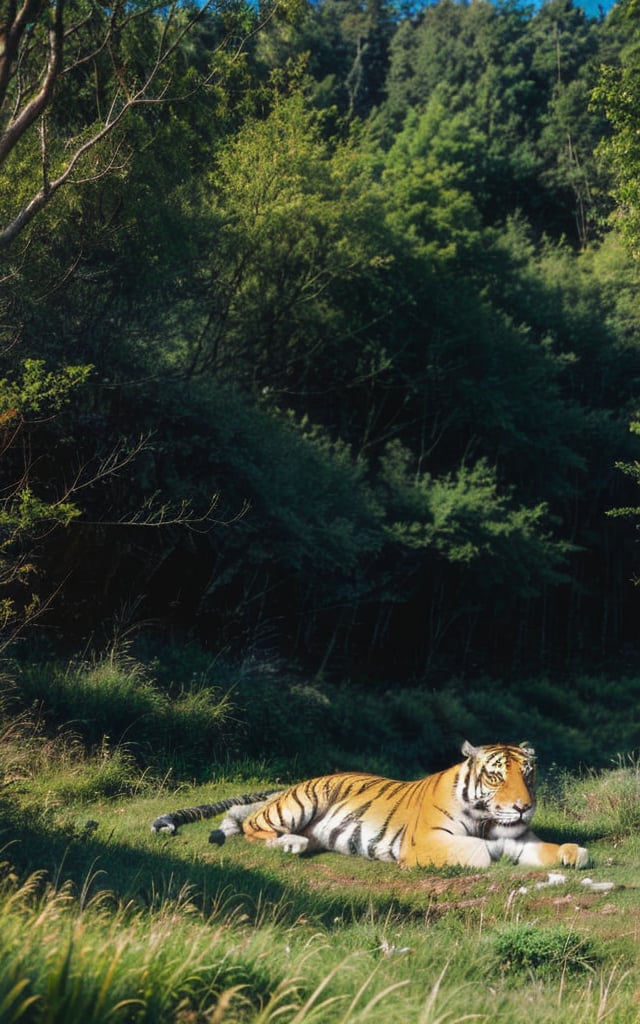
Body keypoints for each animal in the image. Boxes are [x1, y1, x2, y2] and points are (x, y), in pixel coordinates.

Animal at [149, 741, 589, 868]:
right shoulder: (427, 842)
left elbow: (552, 849)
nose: (522, 807)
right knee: (251, 825)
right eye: (497, 777)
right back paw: (292, 843)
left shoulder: (521, 837)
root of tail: (295, 782)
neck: (488, 820)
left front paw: (574, 853)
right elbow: (480, 852)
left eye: (528, 775)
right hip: (301, 802)